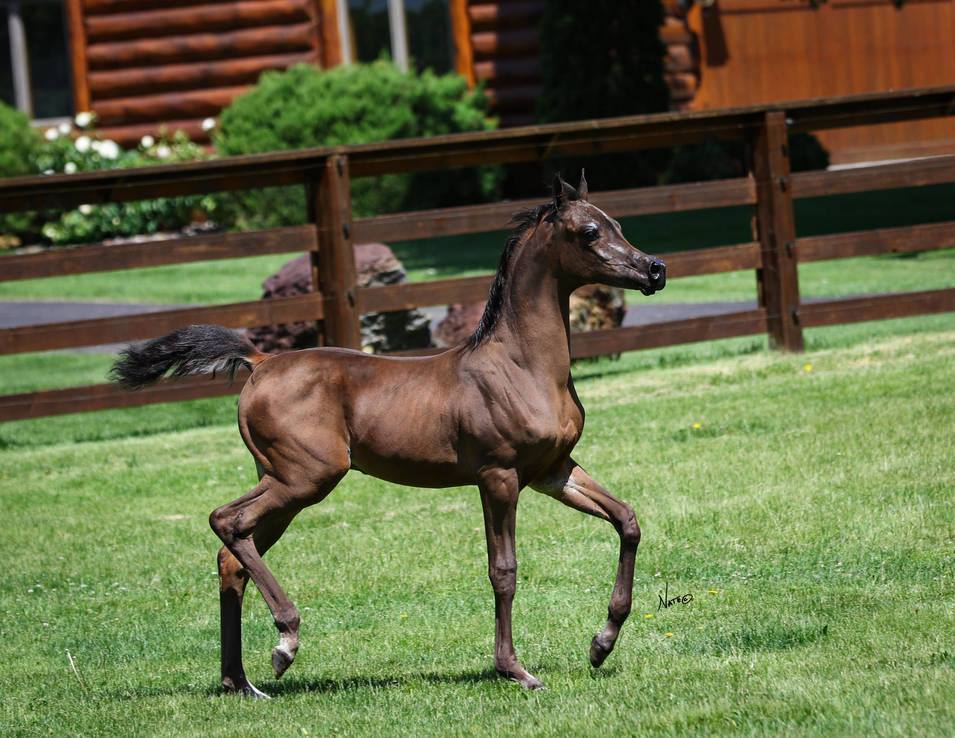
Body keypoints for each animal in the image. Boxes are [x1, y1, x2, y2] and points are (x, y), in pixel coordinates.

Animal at [112, 174, 664, 696]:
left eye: (617, 224)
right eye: (589, 232)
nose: (654, 269)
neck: (522, 365)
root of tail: (261, 362)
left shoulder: (553, 471)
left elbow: (627, 521)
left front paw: (601, 644)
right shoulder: (499, 477)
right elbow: (503, 570)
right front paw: (515, 670)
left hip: (282, 485)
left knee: (234, 555)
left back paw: (240, 683)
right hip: (305, 479)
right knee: (226, 521)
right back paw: (285, 641)